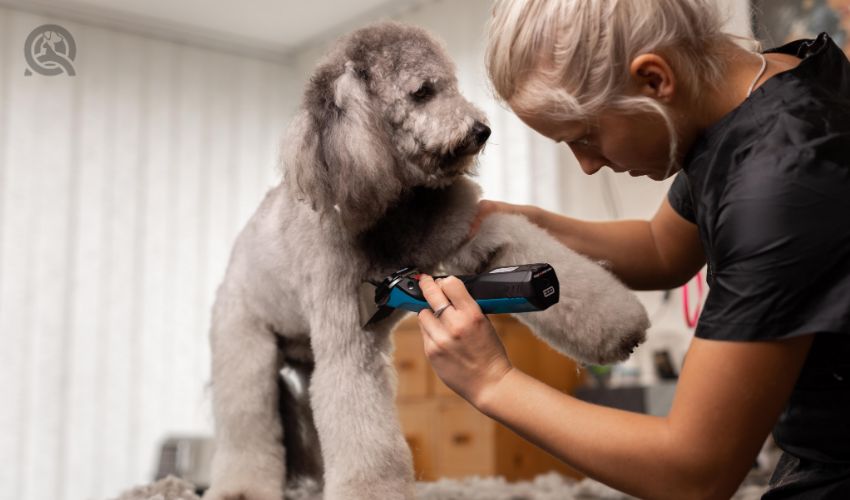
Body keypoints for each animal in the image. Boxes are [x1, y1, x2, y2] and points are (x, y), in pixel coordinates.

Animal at [204, 21, 644, 500]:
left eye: (450, 84)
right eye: (421, 92)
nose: (481, 130)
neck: (395, 210)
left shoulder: (470, 238)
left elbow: (518, 239)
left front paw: (617, 326)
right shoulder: (349, 340)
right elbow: (360, 420)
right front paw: (372, 490)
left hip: (303, 362)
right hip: (247, 354)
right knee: (249, 424)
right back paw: (241, 488)